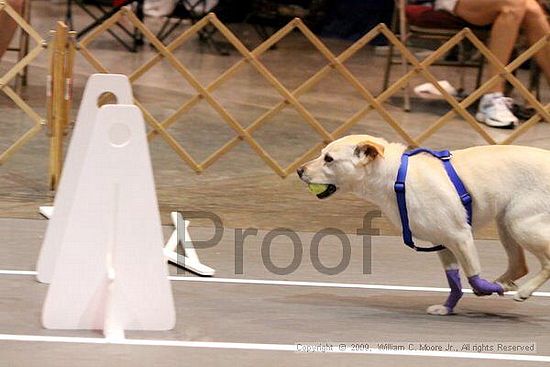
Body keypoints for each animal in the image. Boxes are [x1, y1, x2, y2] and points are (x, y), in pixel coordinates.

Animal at [302, 135, 550, 316]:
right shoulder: (443, 243)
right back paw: (506, 283)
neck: (396, 178)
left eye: (329, 159)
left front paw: (489, 289)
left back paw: (522, 290)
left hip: (520, 224)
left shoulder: (461, 237)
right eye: (322, 154)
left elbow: (475, 278)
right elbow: (455, 281)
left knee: (546, 262)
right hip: (506, 222)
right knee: (520, 265)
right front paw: (447, 308)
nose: (299, 170)